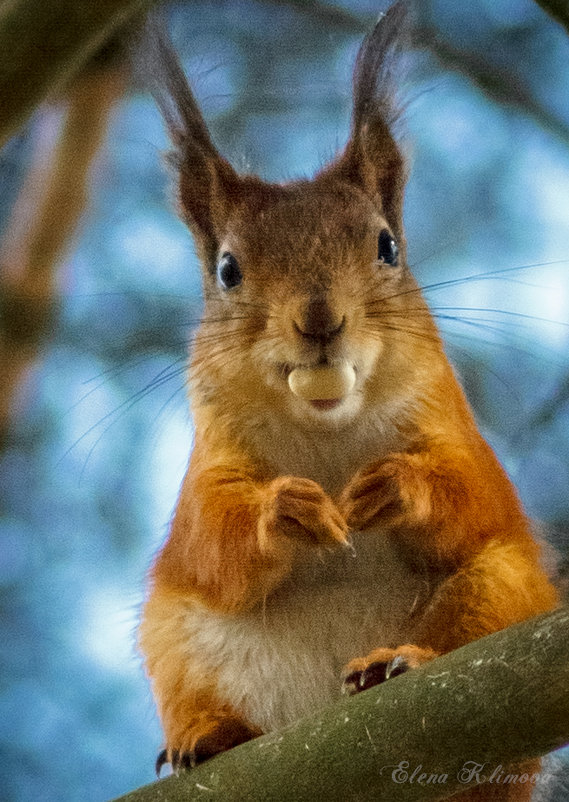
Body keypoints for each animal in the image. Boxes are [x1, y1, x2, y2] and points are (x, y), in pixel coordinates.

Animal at [139, 4, 560, 792]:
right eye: (227, 269)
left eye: (387, 246)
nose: (318, 320)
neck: (328, 428)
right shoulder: (209, 464)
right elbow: (209, 539)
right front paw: (287, 511)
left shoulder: (458, 434)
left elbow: (475, 493)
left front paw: (395, 485)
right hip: (177, 642)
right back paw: (210, 736)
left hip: (506, 589)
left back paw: (397, 662)